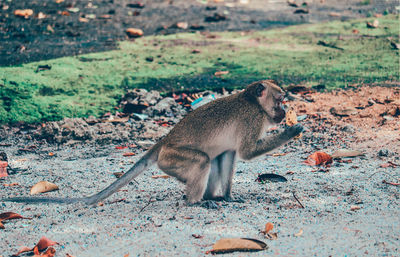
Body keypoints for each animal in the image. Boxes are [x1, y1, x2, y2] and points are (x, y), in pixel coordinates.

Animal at [1, 80, 304, 206]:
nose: (282, 112)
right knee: (203, 161)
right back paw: (196, 202)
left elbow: (230, 156)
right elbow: (247, 152)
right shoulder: (253, 119)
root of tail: (164, 141)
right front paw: (293, 130)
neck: (253, 103)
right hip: (171, 158)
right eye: (280, 100)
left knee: (216, 159)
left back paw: (210, 197)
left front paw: (229, 196)